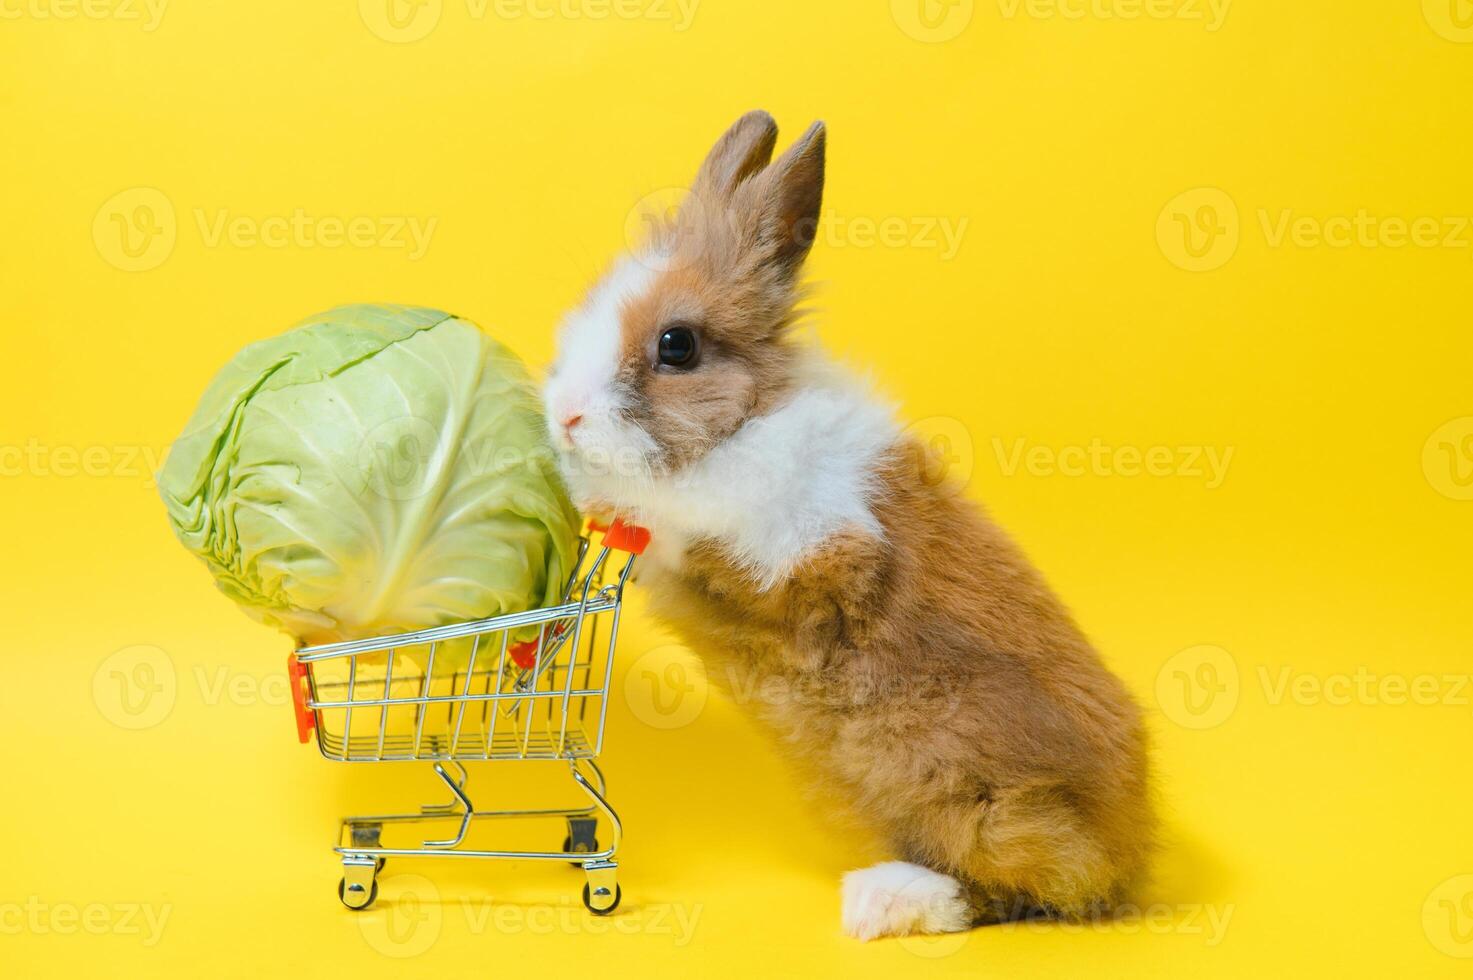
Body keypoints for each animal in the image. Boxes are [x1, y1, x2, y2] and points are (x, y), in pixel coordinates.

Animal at [542, 110, 1148, 937]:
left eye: (677, 344)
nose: (565, 417)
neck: (747, 422)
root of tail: (1134, 855)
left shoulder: (818, 553)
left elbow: (689, 523)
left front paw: (600, 494)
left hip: (968, 789)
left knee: (1017, 890)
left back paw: (880, 902)